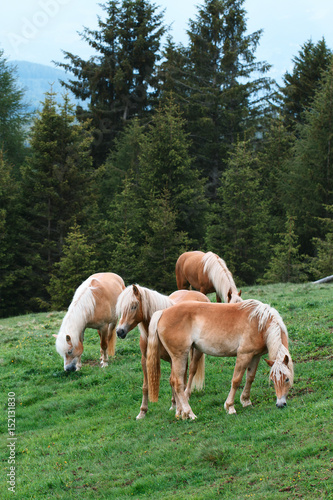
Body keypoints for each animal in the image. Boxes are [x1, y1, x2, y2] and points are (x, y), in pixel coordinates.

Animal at [115, 286, 209, 418]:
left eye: (133, 306)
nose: (120, 332)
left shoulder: (174, 359)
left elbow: (175, 381)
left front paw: (178, 408)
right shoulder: (146, 359)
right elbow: (146, 386)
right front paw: (142, 411)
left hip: (196, 352)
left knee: (191, 371)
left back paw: (186, 395)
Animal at [147, 298, 292, 420]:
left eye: (286, 379)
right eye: (273, 380)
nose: (280, 404)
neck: (258, 322)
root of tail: (162, 312)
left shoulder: (255, 356)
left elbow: (250, 378)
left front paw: (246, 401)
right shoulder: (244, 355)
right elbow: (236, 380)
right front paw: (230, 407)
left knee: (173, 381)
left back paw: (180, 412)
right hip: (180, 356)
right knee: (177, 383)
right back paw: (190, 413)